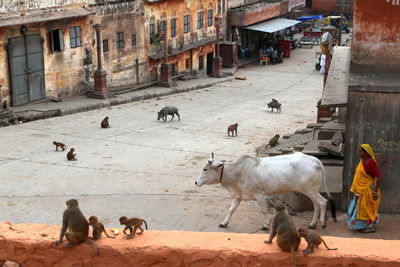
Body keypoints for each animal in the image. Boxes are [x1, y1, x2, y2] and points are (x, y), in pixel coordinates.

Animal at [195, 153, 336, 230]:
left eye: (205, 169)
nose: (196, 182)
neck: (238, 171)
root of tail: (314, 159)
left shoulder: (259, 194)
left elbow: (264, 210)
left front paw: (265, 225)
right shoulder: (239, 195)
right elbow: (231, 210)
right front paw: (224, 223)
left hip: (310, 190)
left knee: (323, 202)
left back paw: (322, 223)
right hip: (311, 191)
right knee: (316, 205)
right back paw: (312, 224)